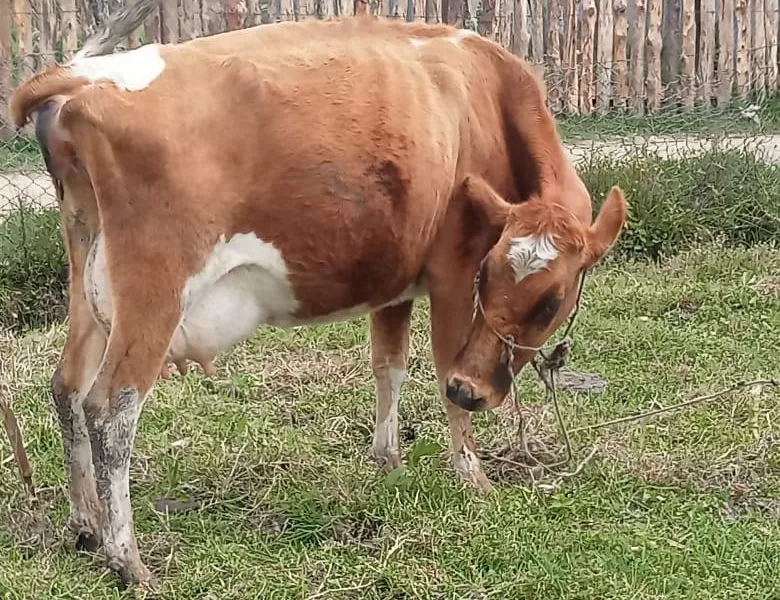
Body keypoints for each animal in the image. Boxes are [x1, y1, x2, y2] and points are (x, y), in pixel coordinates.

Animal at [7, 3, 628, 584]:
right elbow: (441, 365)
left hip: (88, 282)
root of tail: (81, 75)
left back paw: (85, 524)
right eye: (491, 275)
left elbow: (389, 366)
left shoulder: (396, 279)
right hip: (153, 291)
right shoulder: (453, 266)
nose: (474, 391)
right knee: (110, 408)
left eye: (548, 301)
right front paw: (472, 475)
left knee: (66, 387)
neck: (486, 102)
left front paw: (390, 460)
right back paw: (127, 558)